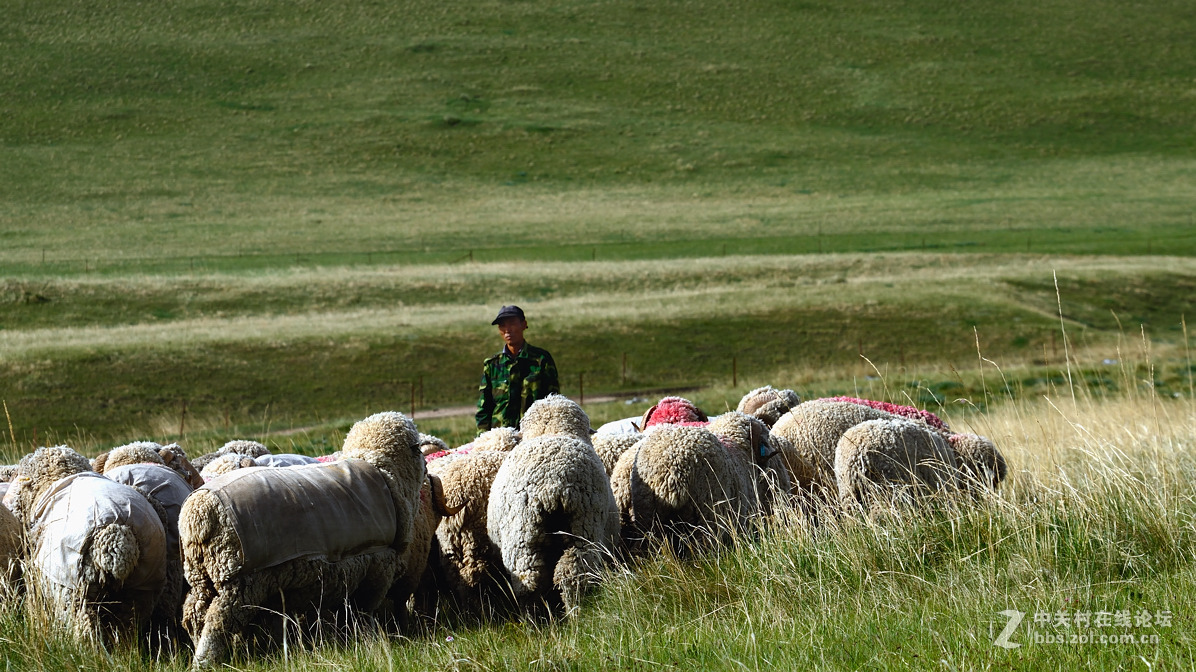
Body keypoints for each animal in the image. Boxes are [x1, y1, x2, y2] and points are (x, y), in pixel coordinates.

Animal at [184, 411, 428, 660]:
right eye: (418, 450)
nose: (427, 468)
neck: (384, 471)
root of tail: (199, 511)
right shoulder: (377, 567)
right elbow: (364, 611)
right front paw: (370, 638)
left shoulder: (351, 571)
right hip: (237, 580)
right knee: (217, 619)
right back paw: (205, 659)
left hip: (201, 575)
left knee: (194, 613)